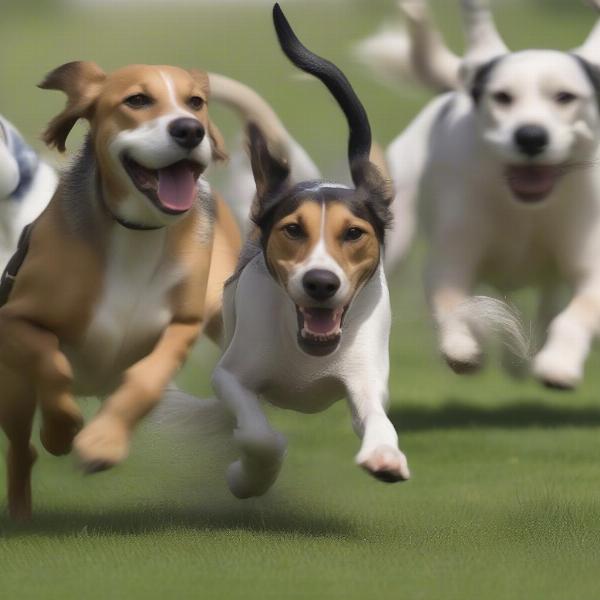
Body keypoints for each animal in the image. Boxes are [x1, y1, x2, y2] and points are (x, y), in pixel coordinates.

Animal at [206, 5, 408, 502]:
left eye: (353, 233)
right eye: (293, 230)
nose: (321, 283)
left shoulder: (366, 379)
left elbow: (378, 418)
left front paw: (385, 455)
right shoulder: (231, 375)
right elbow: (258, 434)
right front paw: (247, 477)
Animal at [358, 0, 600, 390]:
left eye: (565, 97)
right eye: (502, 97)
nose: (531, 136)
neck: (525, 209)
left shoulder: (588, 258)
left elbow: (579, 309)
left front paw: (559, 362)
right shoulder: (453, 257)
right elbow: (454, 302)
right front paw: (464, 348)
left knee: (548, 300)